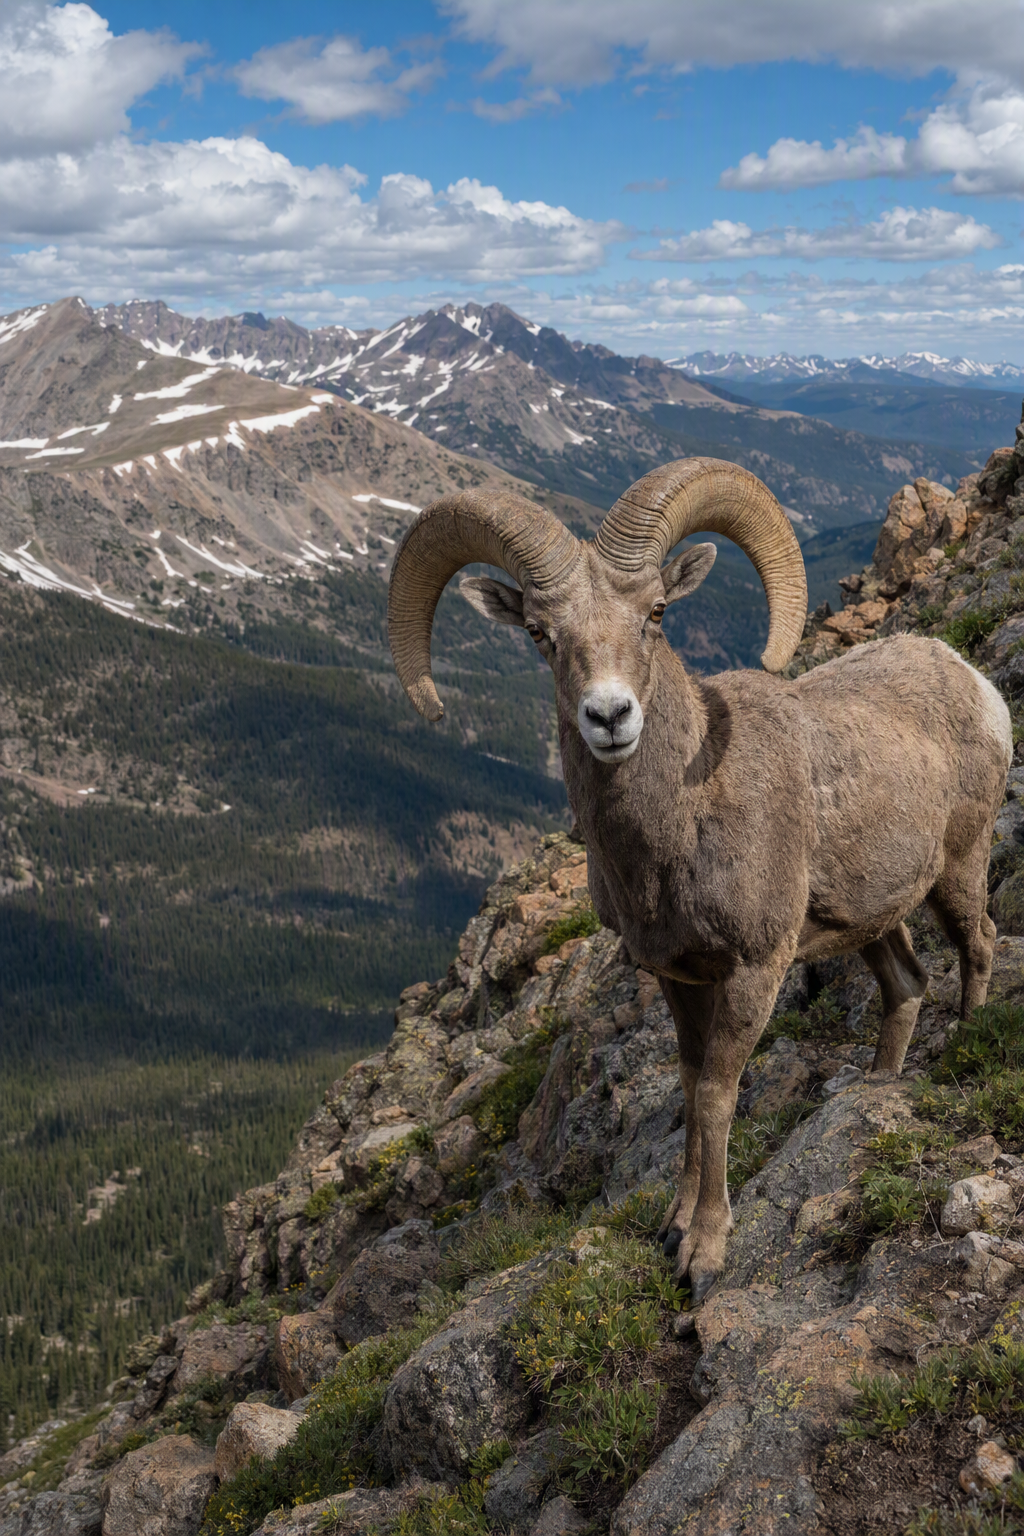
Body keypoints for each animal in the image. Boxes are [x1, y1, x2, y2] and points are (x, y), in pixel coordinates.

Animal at [387, 457, 1011, 1303]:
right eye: (541, 634)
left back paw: (962, 1048)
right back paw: (877, 1086)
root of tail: (971, 679)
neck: (680, 827)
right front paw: (673, 1226)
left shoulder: (754, 969)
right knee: (908, 983)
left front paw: (705, 1252)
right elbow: (687, 1087)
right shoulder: (677, 976)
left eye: (655, 613)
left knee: (980, 942)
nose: (610, 716)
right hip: (867, 922)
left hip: (959, 869)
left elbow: (717, 1094)